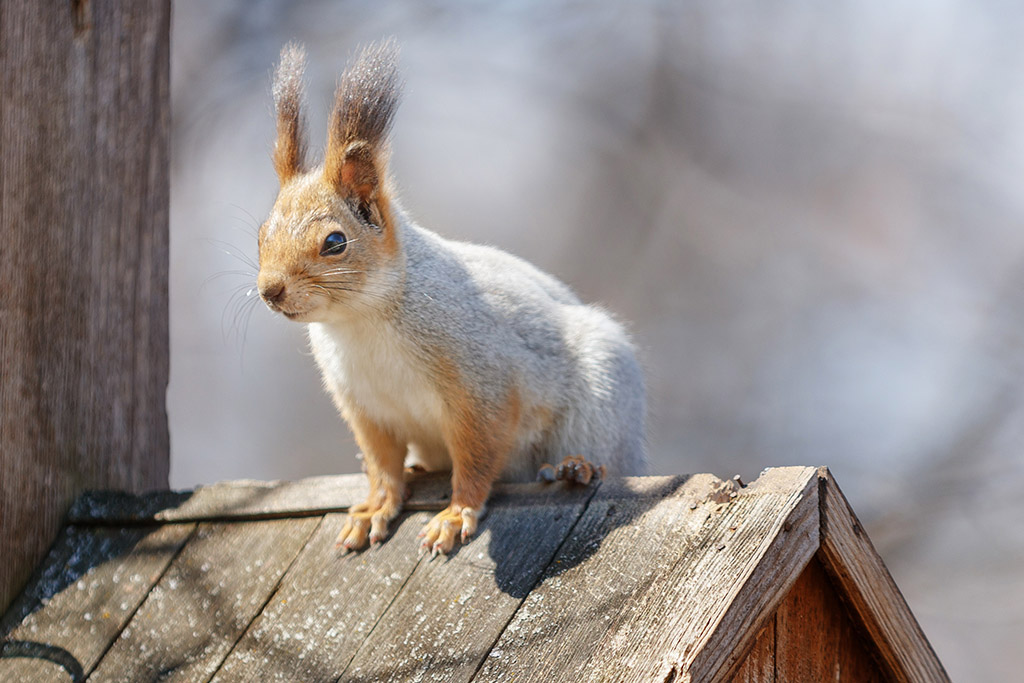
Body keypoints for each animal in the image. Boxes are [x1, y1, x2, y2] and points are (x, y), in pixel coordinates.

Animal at [256, 41, 643, 557]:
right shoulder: (367, 409)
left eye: (335, 242)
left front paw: (457, 515)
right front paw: (374, 509)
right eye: (261, 234)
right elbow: (382, 466)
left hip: (604, 395)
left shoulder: (483, 381)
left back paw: (576, 466)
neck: (361, 321)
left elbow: (478, 453)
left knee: (606, 457)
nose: (270, 290)